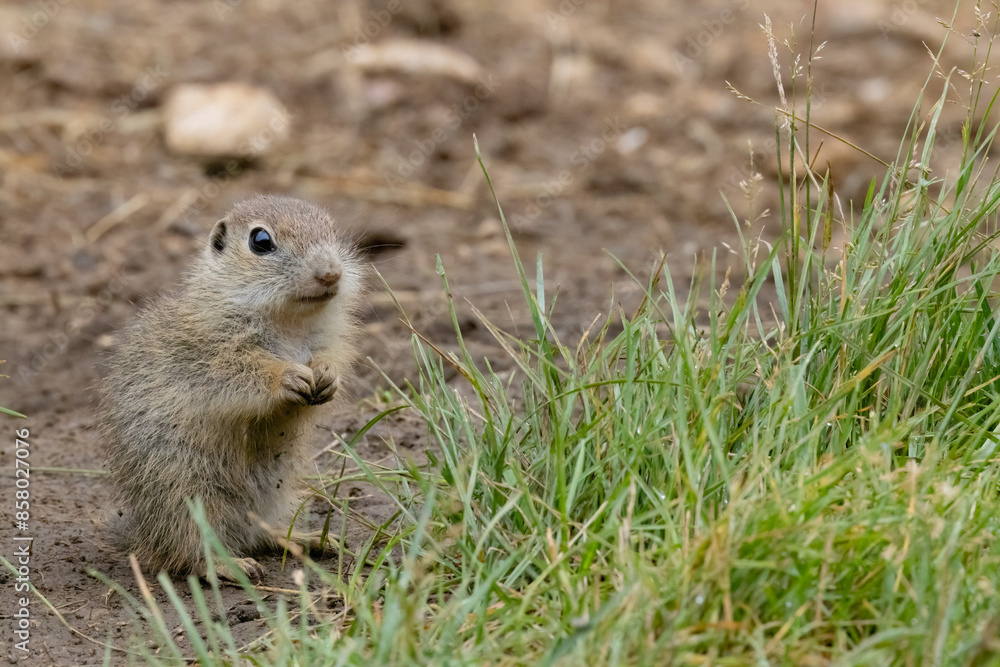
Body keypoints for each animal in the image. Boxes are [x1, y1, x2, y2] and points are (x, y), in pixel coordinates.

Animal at [99, 195, 363, 580]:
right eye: (260, 241)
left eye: (330, 228)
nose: (330, 273)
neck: (288, 322)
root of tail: (145, 536)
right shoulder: (208, 353)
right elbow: (236, 374)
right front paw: (287, 376)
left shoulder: (325, 339)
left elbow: (331, 357)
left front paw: (326, 375)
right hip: (186, 495)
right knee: (191, 554)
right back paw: (231, 565)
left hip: (273, 495)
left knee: (261, 534)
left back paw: (309, 540)